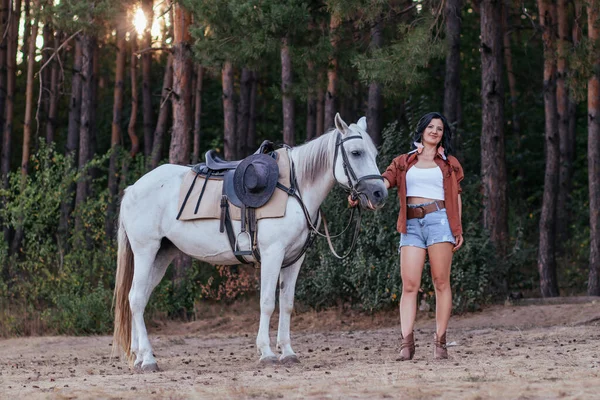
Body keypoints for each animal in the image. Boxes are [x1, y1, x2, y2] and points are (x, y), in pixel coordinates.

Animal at [111, 114, 390, 370]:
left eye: (374, 153)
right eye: (355, 152)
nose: (379, 194)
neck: (294, 189)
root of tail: (133, 188)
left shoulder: (294, 260)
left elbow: (287, 304)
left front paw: (287, 352)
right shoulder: (272, 255)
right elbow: (267, 303)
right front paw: (266, 353)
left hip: (162, 255)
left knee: (138, 298)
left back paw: (138, 356)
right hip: (146, 251)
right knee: (136, 298)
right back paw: (148, 359)